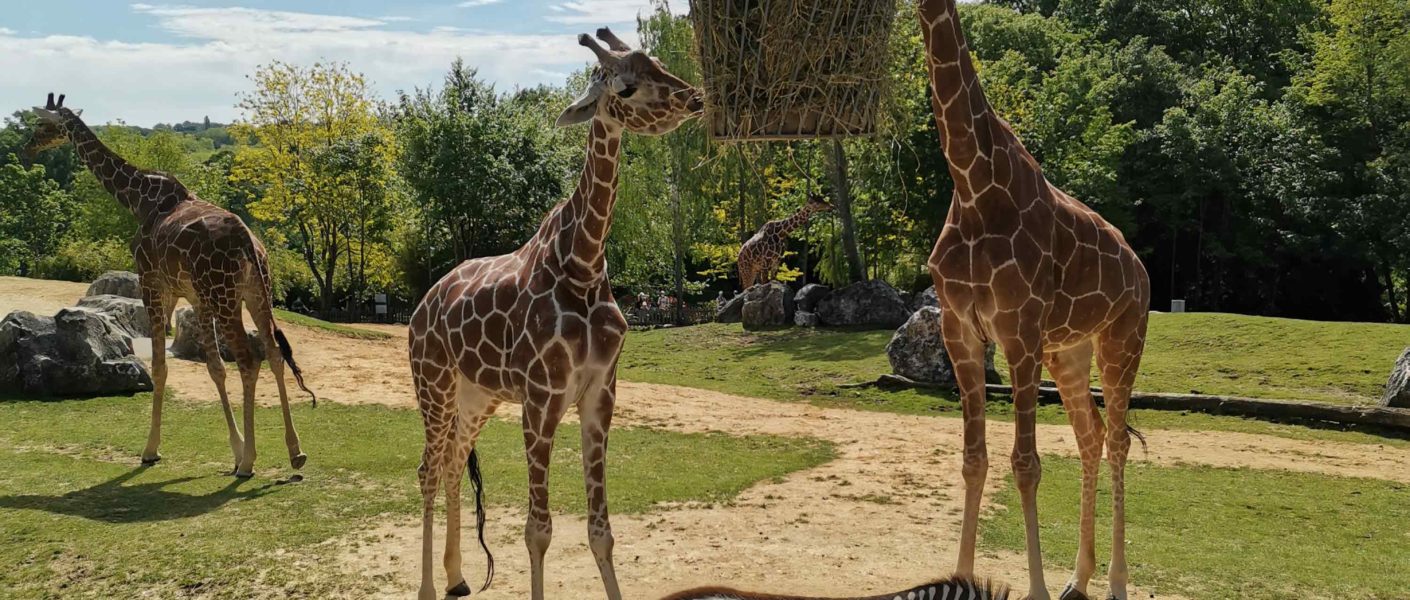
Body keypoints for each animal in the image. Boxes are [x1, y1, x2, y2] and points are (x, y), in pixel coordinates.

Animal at [24, 93, 316, 478]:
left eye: (43, 124)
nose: (27, 148)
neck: (136, 199)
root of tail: (248, 242)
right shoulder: (195, 297)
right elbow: (214, 368)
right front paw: (235, 449)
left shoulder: (153, 283)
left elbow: (161, 366)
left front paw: (151, 450)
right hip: (254, 293)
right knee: (274, 352)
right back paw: (295, 452)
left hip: (224, 296)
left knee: (248, 360)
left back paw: (250, 463)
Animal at [407, 28, 703, 600]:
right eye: (625, 87)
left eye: (658, 63)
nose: (695, 97)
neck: (583, 266)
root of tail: (421, 307)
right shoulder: (540, 399)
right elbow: (537, 530)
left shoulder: (601, 394)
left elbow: (601, 530)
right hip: (432, 384)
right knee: (428, 470)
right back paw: (429, 587)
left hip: (477, 395)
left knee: (452, 463)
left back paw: (457, 576)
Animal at [916, 2, 1150, 599]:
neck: (973, 184)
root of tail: (1139, 269)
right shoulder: (960, 330)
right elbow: (974, 459)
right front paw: (963, 577)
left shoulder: (1017, 329)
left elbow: (1026, 464)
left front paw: (1036, 589)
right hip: (1066, 352)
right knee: (1091, 437)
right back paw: (1078, 578)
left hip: (1122, 339)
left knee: (1117, 441)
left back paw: (1114, 582)